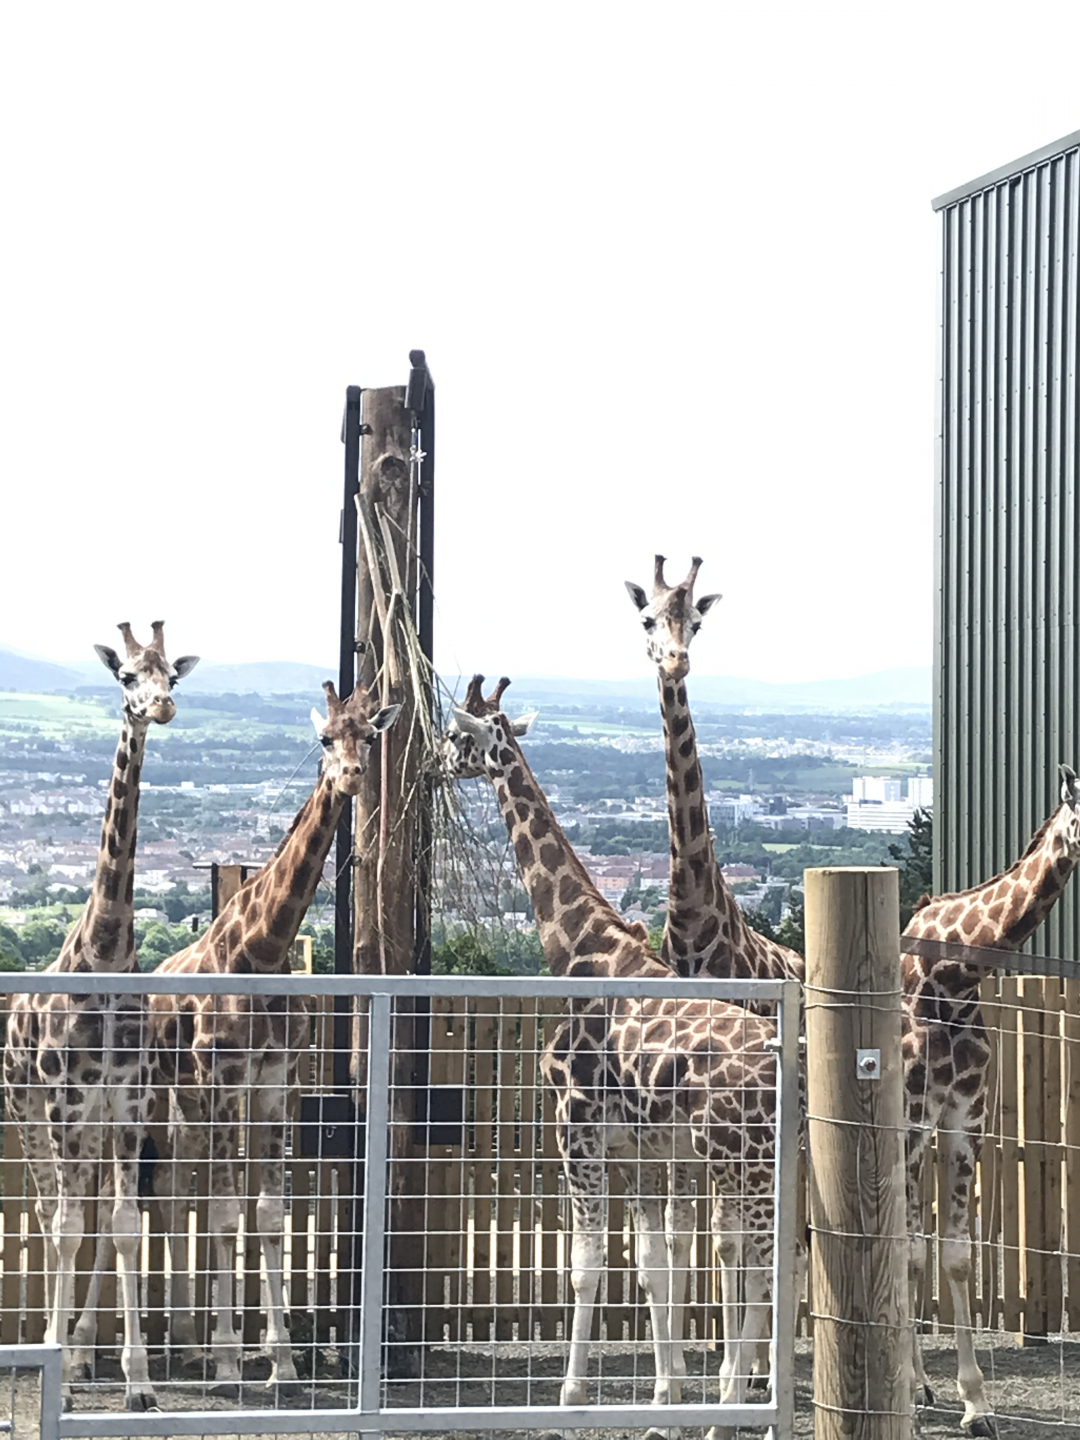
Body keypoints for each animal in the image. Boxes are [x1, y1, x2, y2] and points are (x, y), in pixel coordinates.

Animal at [145, 681, 399, 1393]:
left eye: (371, 735)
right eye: (323, 737)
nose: (351, 775)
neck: (264, 948)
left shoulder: (276, 1083)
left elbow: (266, 1213)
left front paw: (280, 1361)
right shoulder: (227, 1078)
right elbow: (229, 1212)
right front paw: (234, 1359)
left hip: (193, 1104)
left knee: (184, 1188)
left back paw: (188, 1345)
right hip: (166, 1095)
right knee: (176, 1192)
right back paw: (187, 1350)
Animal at [445, 675, 800, 1439]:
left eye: (459, 735)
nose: (432, 763)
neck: (579, 947)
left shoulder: (574, 1126)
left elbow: (587, 1266)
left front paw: (572, 1396)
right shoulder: (634, 1145)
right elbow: (652, 1265)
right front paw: (665, 1400)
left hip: (742, 1160)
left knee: (765, 1266)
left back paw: (739, 1413)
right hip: (758, 1163)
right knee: (771, 1260)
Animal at [902, 763, 1080, 1437]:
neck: (953, 978)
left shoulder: (963, 1118)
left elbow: (953, 1254)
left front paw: (974, 1403)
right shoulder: (907, 1117)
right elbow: (906, 1248)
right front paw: (911, 1393)